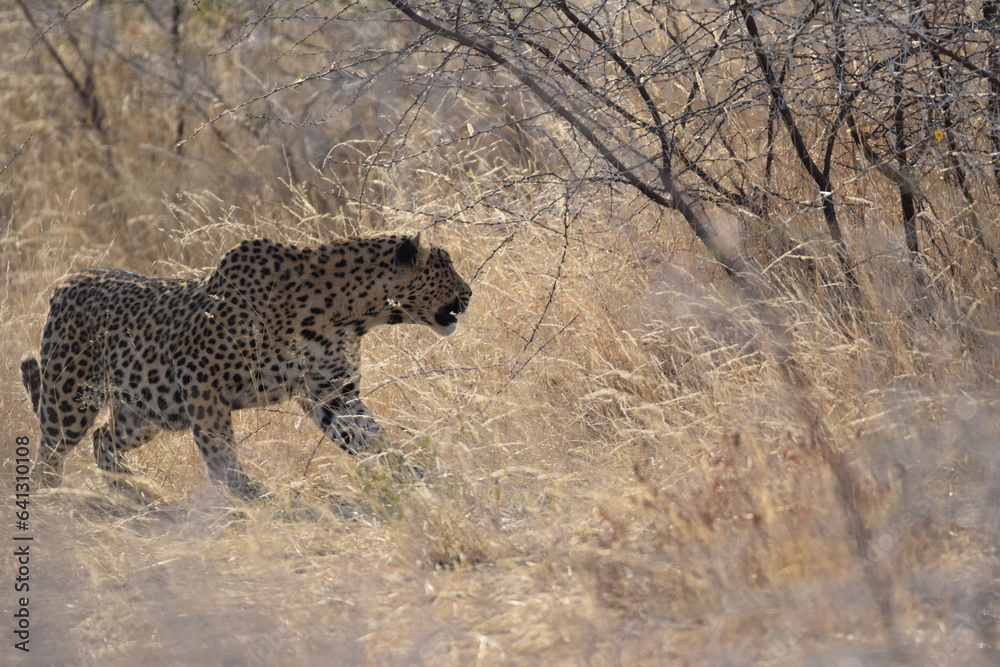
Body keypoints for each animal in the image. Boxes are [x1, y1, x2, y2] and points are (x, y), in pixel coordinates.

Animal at [20, 233, 472, 499]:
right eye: (446, 267)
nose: (469, 292)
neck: (350, 312)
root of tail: (66, 283)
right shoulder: (199, 376)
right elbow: (220, 447)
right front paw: (247, 494)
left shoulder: (331, 391)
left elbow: (369, 436)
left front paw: (416, 476)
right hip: (71, 398)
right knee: (50, 453)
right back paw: (49, 502)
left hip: (149, 409)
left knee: (103, 439)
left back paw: (135, 492)